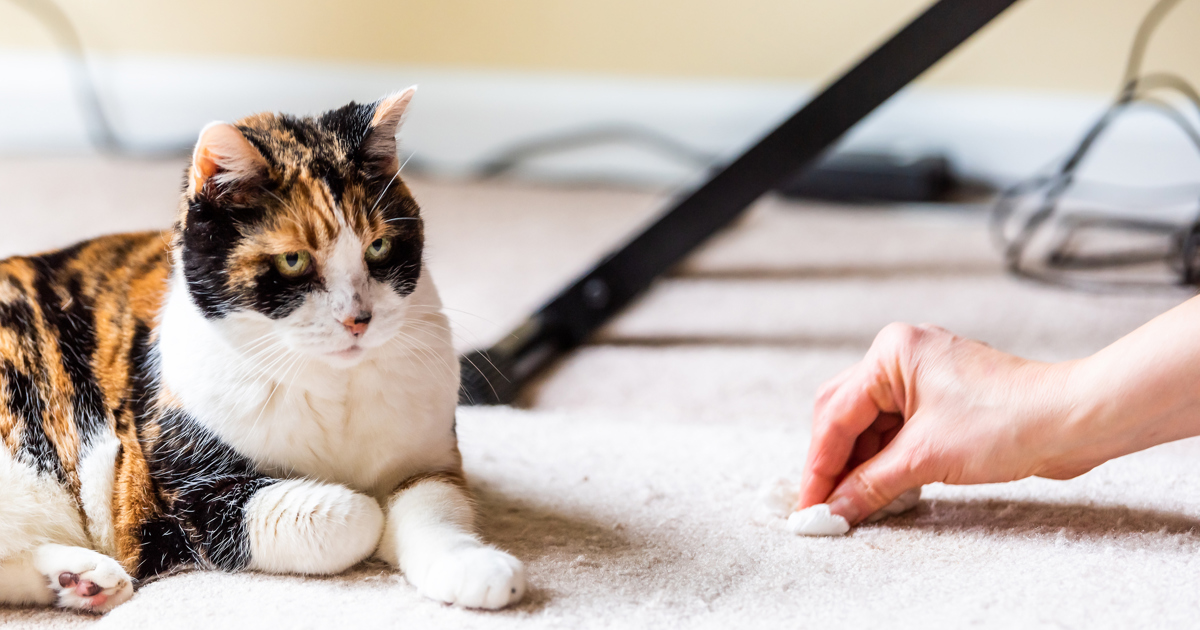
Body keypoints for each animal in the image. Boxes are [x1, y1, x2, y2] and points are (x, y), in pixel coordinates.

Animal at [0, 87, 525, 609]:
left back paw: (82, 579)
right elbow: (355, 516)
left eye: (378, 248)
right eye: (293, 260)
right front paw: (369, 515)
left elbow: (434, 508)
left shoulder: (429, 461)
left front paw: (475, 567)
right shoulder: (183, 496)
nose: (358, 319)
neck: (334, 389)